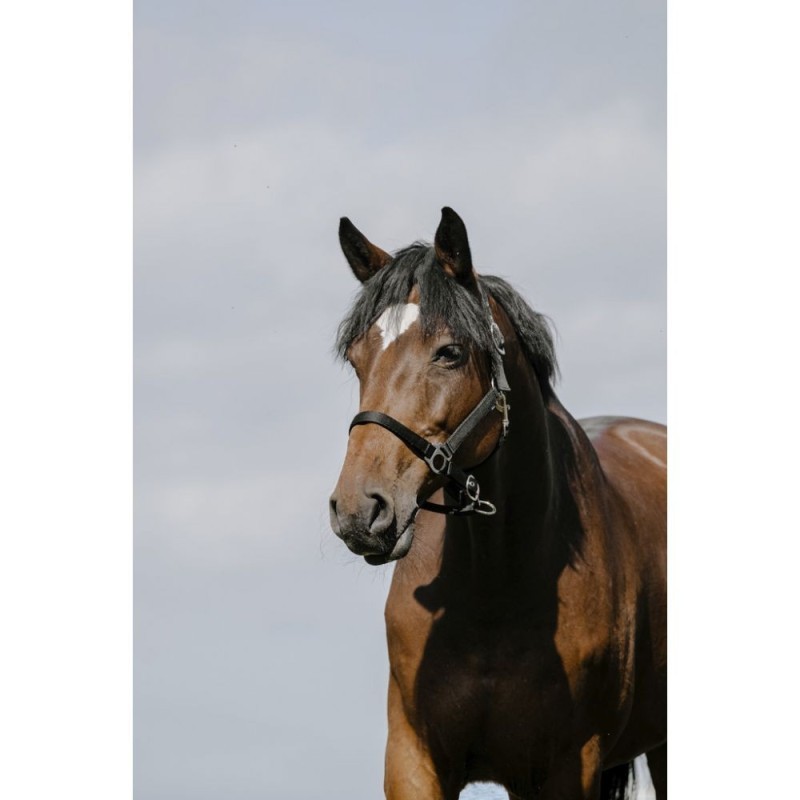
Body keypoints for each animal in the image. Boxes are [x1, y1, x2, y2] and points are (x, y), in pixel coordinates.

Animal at [328, 208, 666, 799]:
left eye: (450, 352)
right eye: (356, 358)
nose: (359, 510)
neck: (496, 586)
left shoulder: (565, 767)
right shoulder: (413, 760)